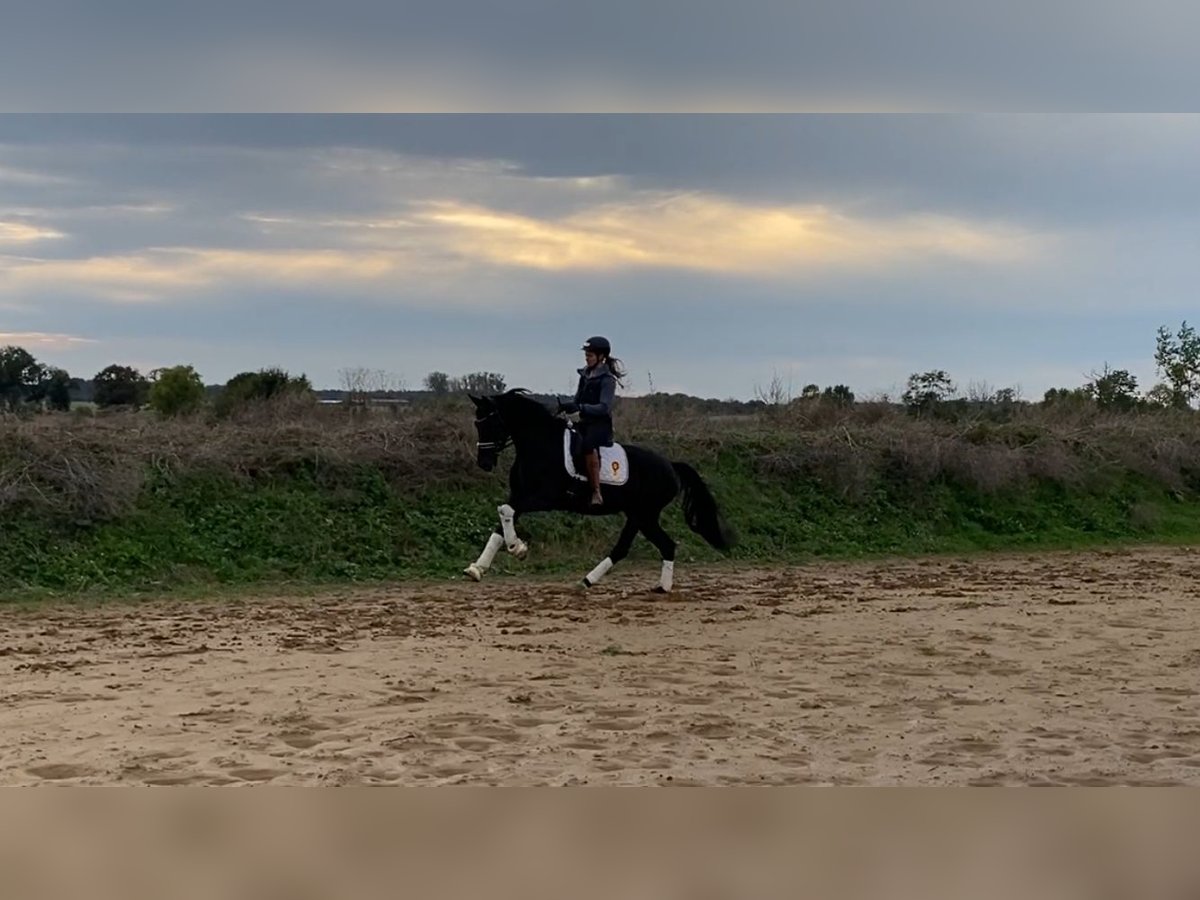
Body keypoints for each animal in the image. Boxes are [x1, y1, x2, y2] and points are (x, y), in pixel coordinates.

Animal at [465, 388, 729, 592]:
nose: (484, 463)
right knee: (654, 546)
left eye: (490, 422)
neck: (539, 444)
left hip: (643, 514)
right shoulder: (520, 496)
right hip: (641, 516)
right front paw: (477, 569)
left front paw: (517, 549)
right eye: (477, 423)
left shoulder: (544, 497)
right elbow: (501, 521)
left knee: (639, 546)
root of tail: (670, 466)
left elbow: (505, 510)